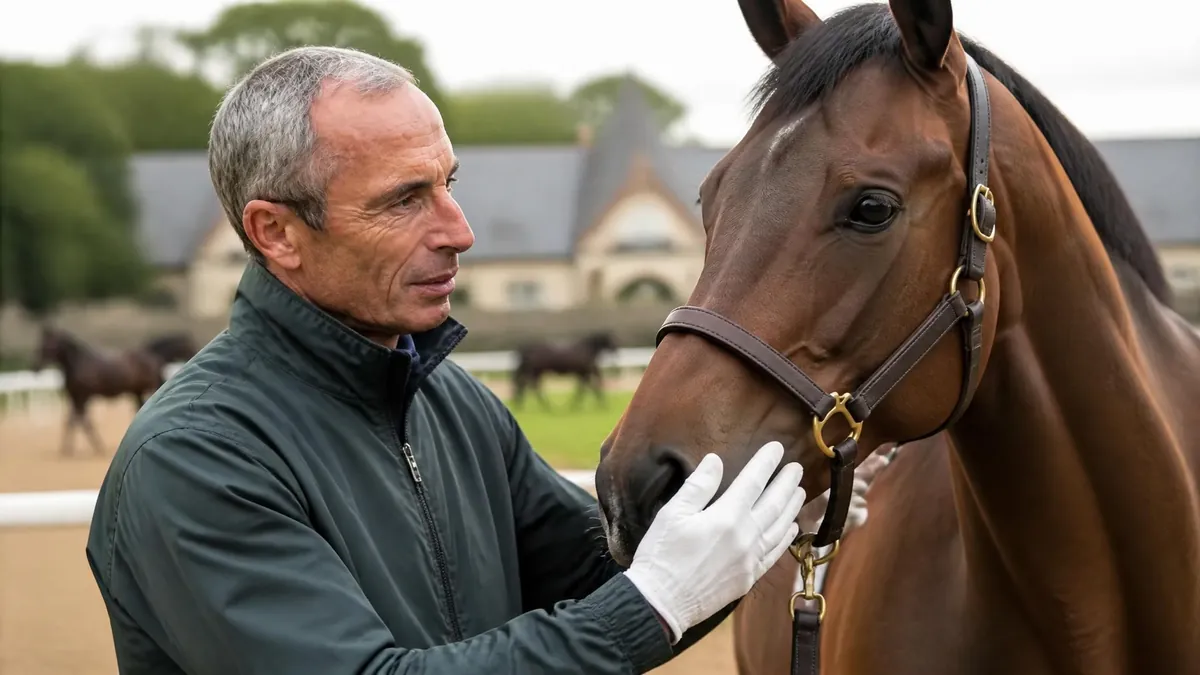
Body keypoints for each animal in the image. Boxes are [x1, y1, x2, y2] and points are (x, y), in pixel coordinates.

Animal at [34, 325, 166, 456]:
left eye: (50, 345)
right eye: (41, 343)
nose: (37, 367)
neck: (79, 363)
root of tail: (153, 358)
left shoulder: (83, 396)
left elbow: (82, 421)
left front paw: (97, 447)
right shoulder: (73, 396)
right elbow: (72, 421)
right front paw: (67, 449)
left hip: (149, 388)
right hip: (136, 392)